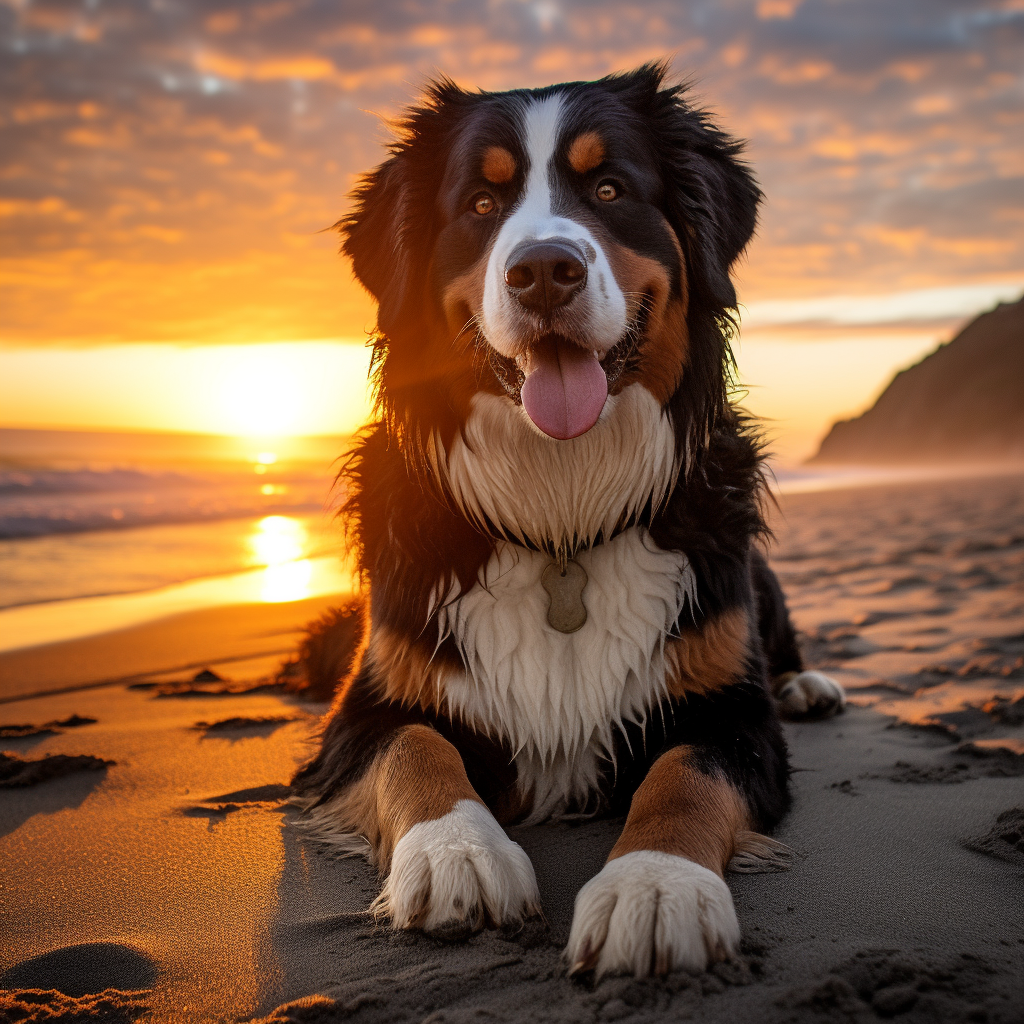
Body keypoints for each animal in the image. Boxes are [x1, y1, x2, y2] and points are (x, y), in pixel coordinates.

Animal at [292, 61, 843, 974]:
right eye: (482, 203)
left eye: (610, 188)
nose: (544, 270)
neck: (561, 516)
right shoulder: (369, 710)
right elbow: (417, 749)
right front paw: (457, 855)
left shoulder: (729, 714)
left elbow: (683, 777)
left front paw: (654, 888)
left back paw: (809, 684)